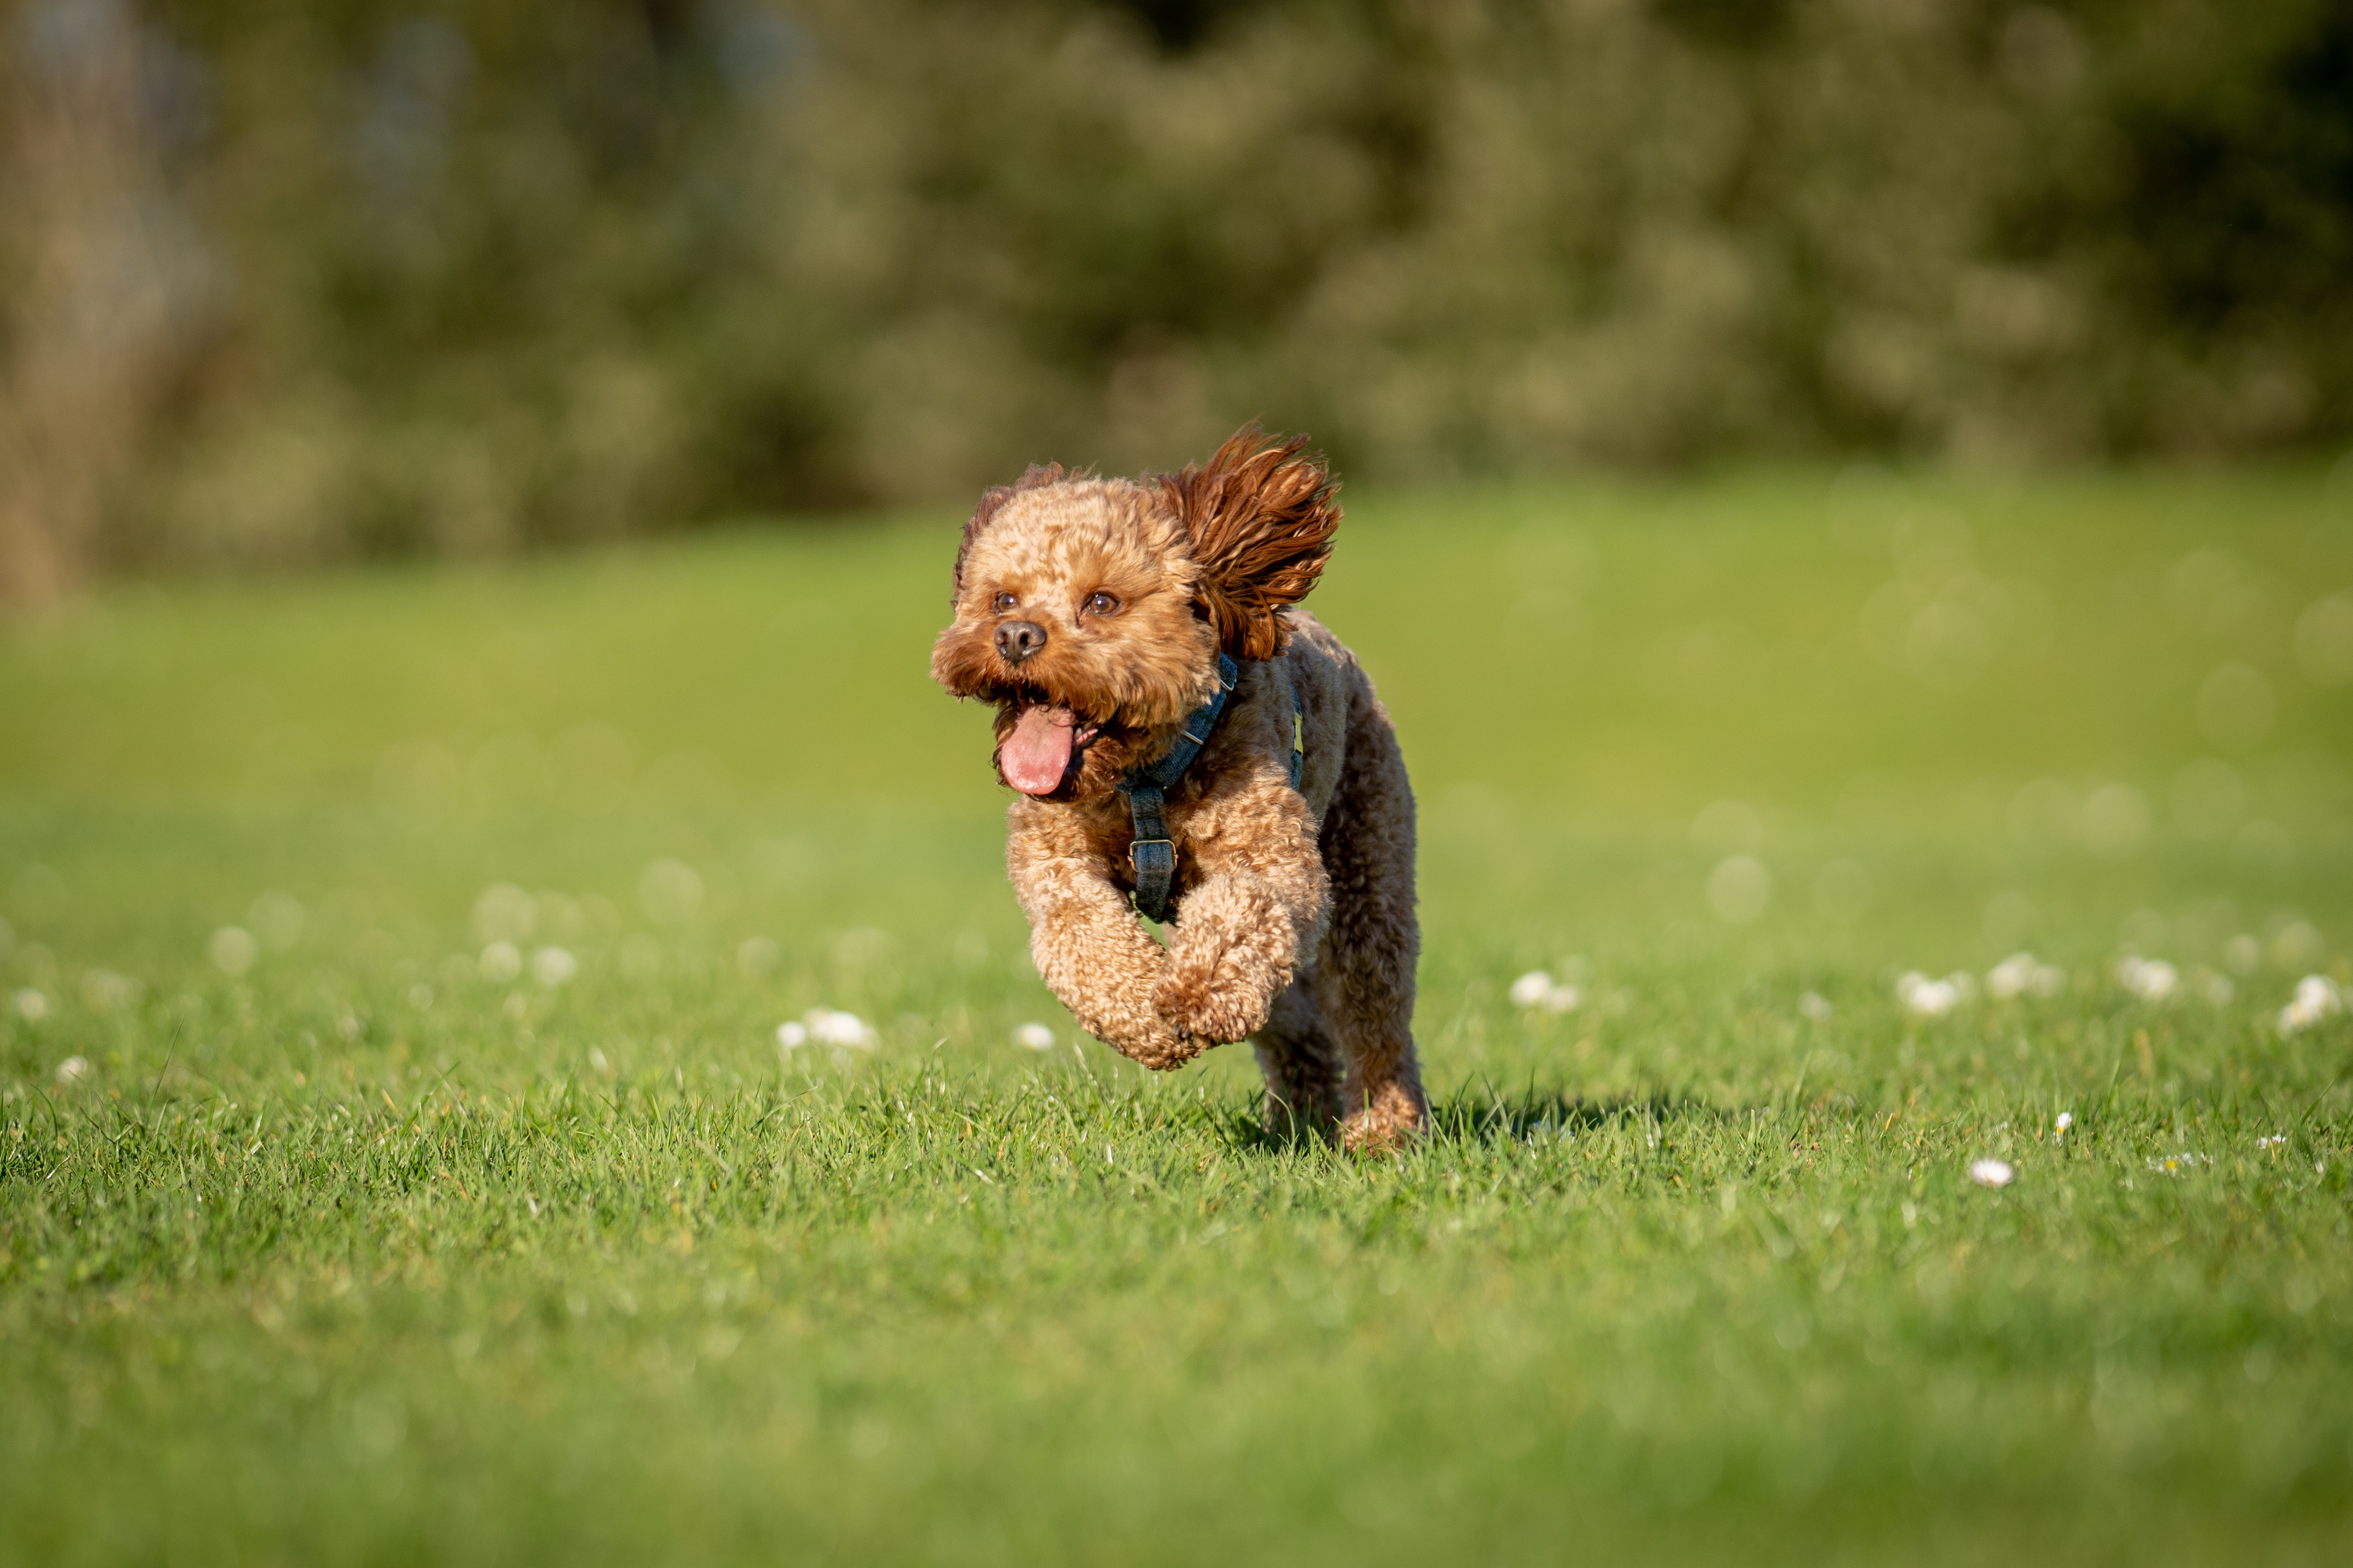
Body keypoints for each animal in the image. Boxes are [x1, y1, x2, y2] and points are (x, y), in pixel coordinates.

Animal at [927, 423, 1421, 1147]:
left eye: (1102, 602)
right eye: (1003, 599)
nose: (1015, 636)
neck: (1142, 778)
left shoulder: (1272, 858)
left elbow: (1243, 913)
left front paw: (1193, 997)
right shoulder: (1056, 864)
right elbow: (1079, 934)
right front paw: (1149, 1022)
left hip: (1366, 863)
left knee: (1373, 1014)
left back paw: (1385, 1131)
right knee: (1296, 1022)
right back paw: (1297, 1118)